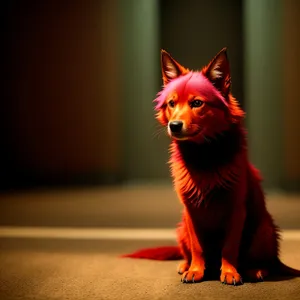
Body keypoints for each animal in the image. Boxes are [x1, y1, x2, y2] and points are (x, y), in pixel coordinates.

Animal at [122, 48, 300, 284]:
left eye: (197, 103)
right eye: (171, 103)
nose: (174, 126)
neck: (204, 155)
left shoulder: (236, 210)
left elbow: (230, 247)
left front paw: (230, 271)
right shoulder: (191, 212)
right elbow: (198, 247)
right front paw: (196, 270)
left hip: (264, 229)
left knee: (266, 262)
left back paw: (256, 270)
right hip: (181, 228)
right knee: (188, 252)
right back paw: (185, 264)